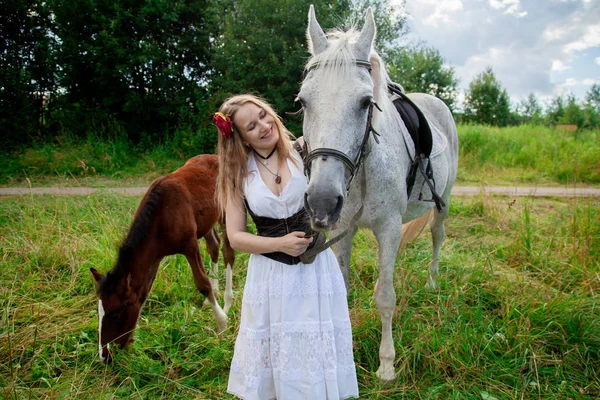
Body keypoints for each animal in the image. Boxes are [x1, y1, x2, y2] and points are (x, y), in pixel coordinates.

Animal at [300, 7, 460, 382]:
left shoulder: (388, 228)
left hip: (443, 202)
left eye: (365, 103)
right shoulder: (343, 231)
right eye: (302, 102)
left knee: (437, 235)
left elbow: (385, 296)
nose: (322, 203)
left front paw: (387, 364)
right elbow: (343, 290)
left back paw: (432, 282)